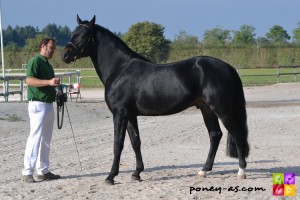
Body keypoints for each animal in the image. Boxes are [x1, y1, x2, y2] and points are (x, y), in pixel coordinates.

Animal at [62, 15, 250, 184]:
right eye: (73, 33)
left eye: (84, 35)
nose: (65, 55)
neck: (120, 69)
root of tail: (228, 67)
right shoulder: (130, 115)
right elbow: (135, 142)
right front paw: (137, 173)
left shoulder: (120, 114)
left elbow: (118, 144)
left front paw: (111, 176)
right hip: (206, 109)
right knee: (215, 135)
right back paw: (204, 170)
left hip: (221, 109)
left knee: (236, 133)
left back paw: (241, 171)